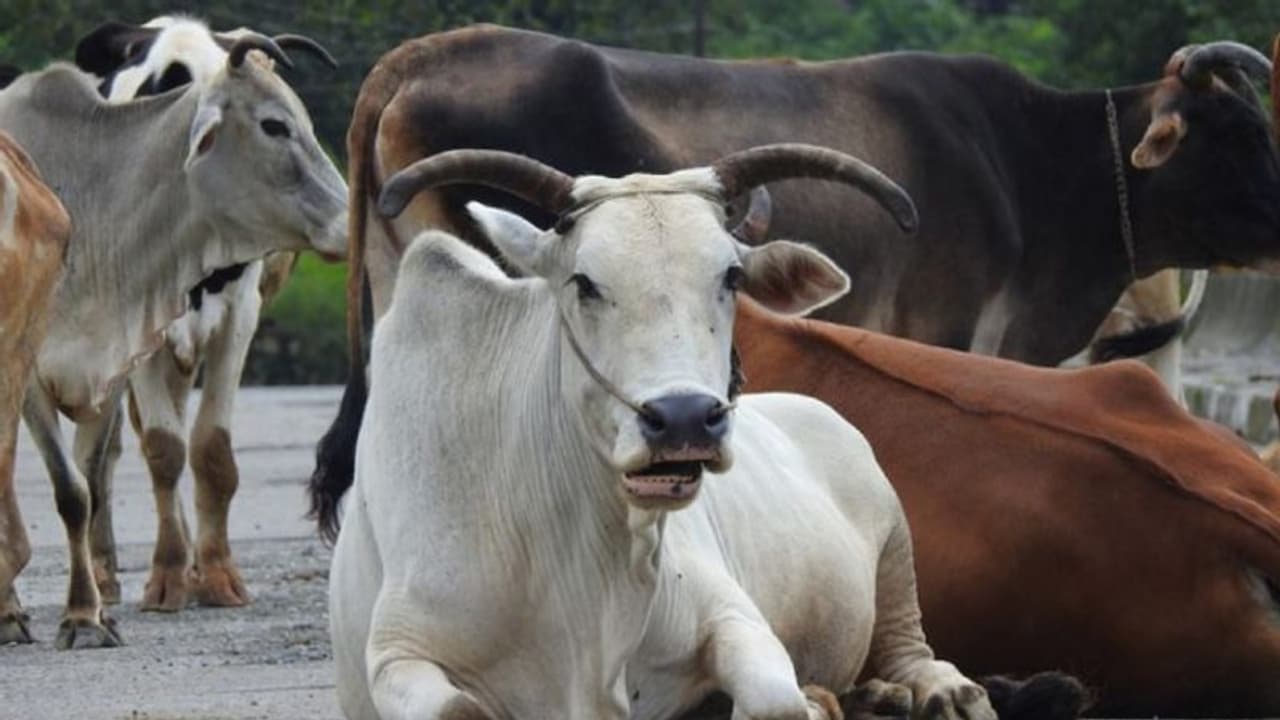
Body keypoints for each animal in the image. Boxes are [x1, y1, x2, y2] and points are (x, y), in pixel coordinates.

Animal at [0, 36, 347, 648]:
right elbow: (68, 490)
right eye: (274, 125)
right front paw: (76, 614)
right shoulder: (29, 370)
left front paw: (89, 612)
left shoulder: (112, 368)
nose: (350, 218)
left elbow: (90, 486)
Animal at [310, 144, 1006, 720]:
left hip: (894, 545)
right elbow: (460, 709)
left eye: (731, 276)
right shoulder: (399, 653)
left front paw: (814, 702)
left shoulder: (730, 614)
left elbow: (775, 700)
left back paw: (936, 691)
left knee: (911, 645)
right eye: (583, 282)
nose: (685, 418)